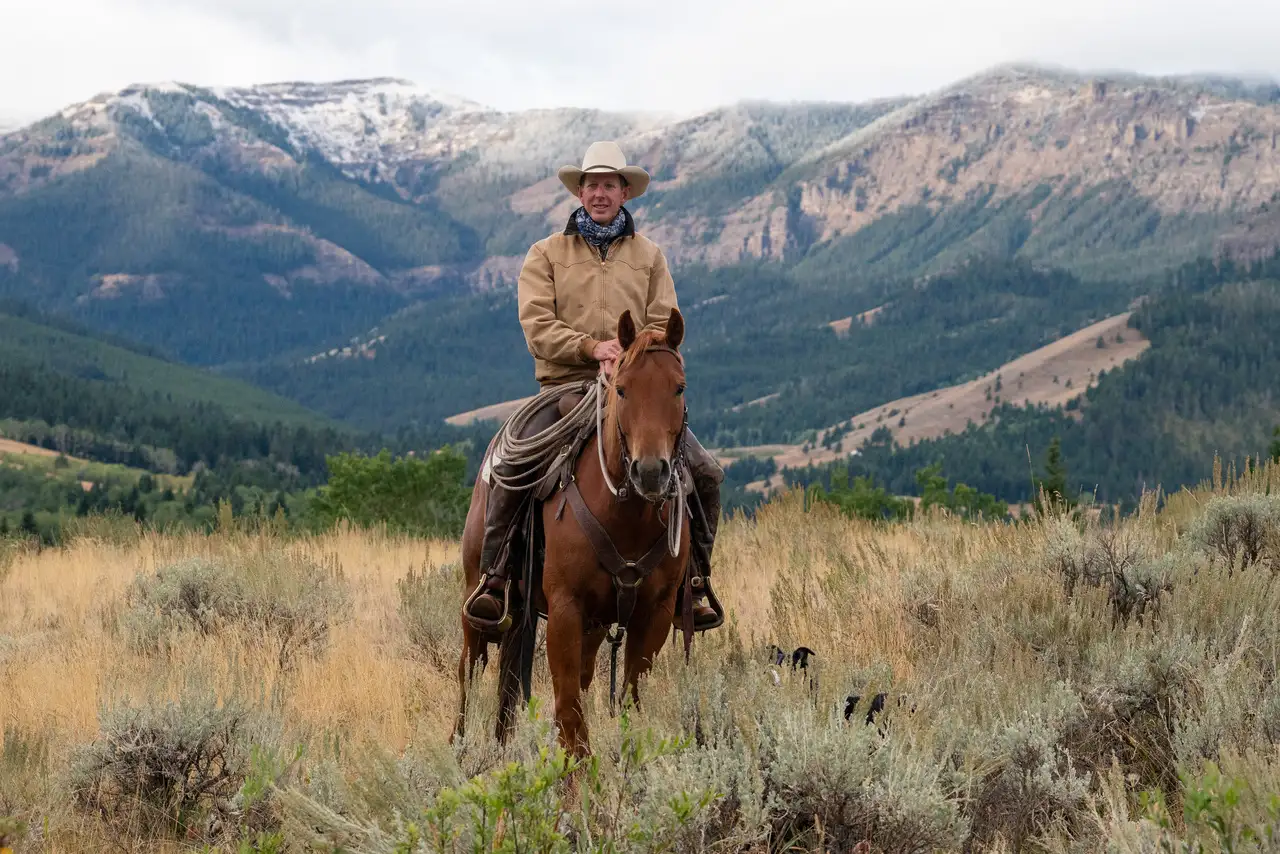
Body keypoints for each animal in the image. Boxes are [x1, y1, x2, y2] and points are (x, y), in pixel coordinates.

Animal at [450, 306, 691, 752]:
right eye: (622, 389)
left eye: (679, 388)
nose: (650, 472)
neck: (625, 515)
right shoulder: (565, 609)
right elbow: (568, 711)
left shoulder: (656, 614)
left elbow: (629, 702)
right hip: (477, 599)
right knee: (468, 673)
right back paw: (458, 750)